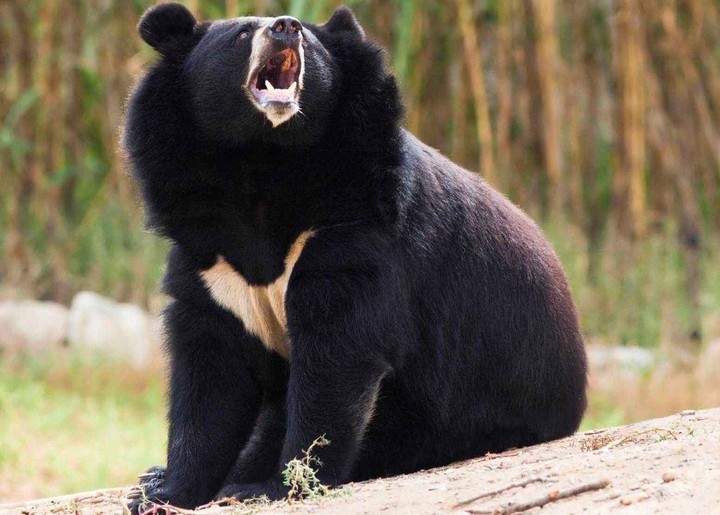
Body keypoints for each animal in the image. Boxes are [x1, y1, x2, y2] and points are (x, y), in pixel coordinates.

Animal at [123, 3, 587, 512]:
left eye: (308, 38)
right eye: (243, 34)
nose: (286, 26)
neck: (262, 162)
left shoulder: (355, 229)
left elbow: (337, 355)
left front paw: (276, 485)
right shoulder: (209, 259)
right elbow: (211, 375)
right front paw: (165, 491)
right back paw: (154, 475)